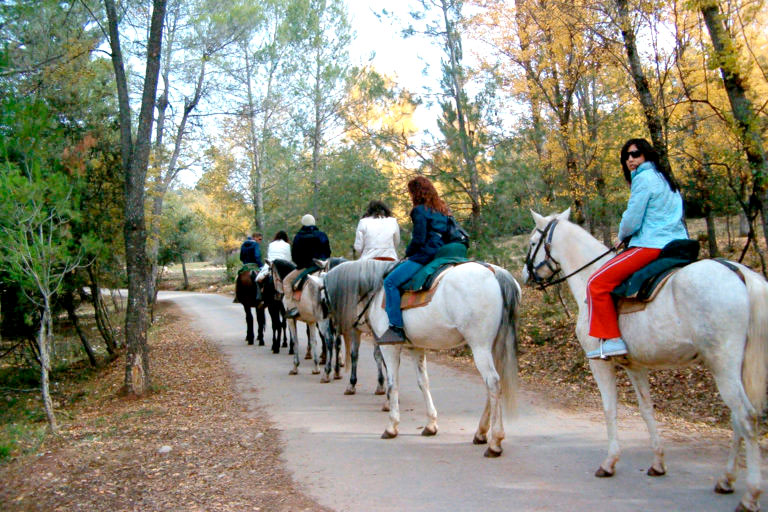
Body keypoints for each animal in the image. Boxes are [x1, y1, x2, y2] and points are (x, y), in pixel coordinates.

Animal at [322, 258, 521, 457]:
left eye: (323, 296)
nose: (327, 324)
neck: (376, 289)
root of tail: (496, 273)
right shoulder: (416, 347)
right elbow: (423, 382)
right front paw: (431, 425)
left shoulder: (389, 347)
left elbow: (393, 384)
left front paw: (392, 426)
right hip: (493, 346)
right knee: (493, 386)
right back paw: (480, 433)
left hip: (480, 346)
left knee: (493, 383)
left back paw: (495, 442)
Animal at [522, 208, 768, 512]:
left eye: (533, 242)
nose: (525, 274)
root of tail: (740, 274)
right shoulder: (636, 367)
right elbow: (647, 410)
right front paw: (658, 463)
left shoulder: (599, 363)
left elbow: (610, 408)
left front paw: (609, 462)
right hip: (736, 369)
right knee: (738, 419)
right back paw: (726, 479)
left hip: (724, 367)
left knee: (746, 417)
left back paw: (750, 494)